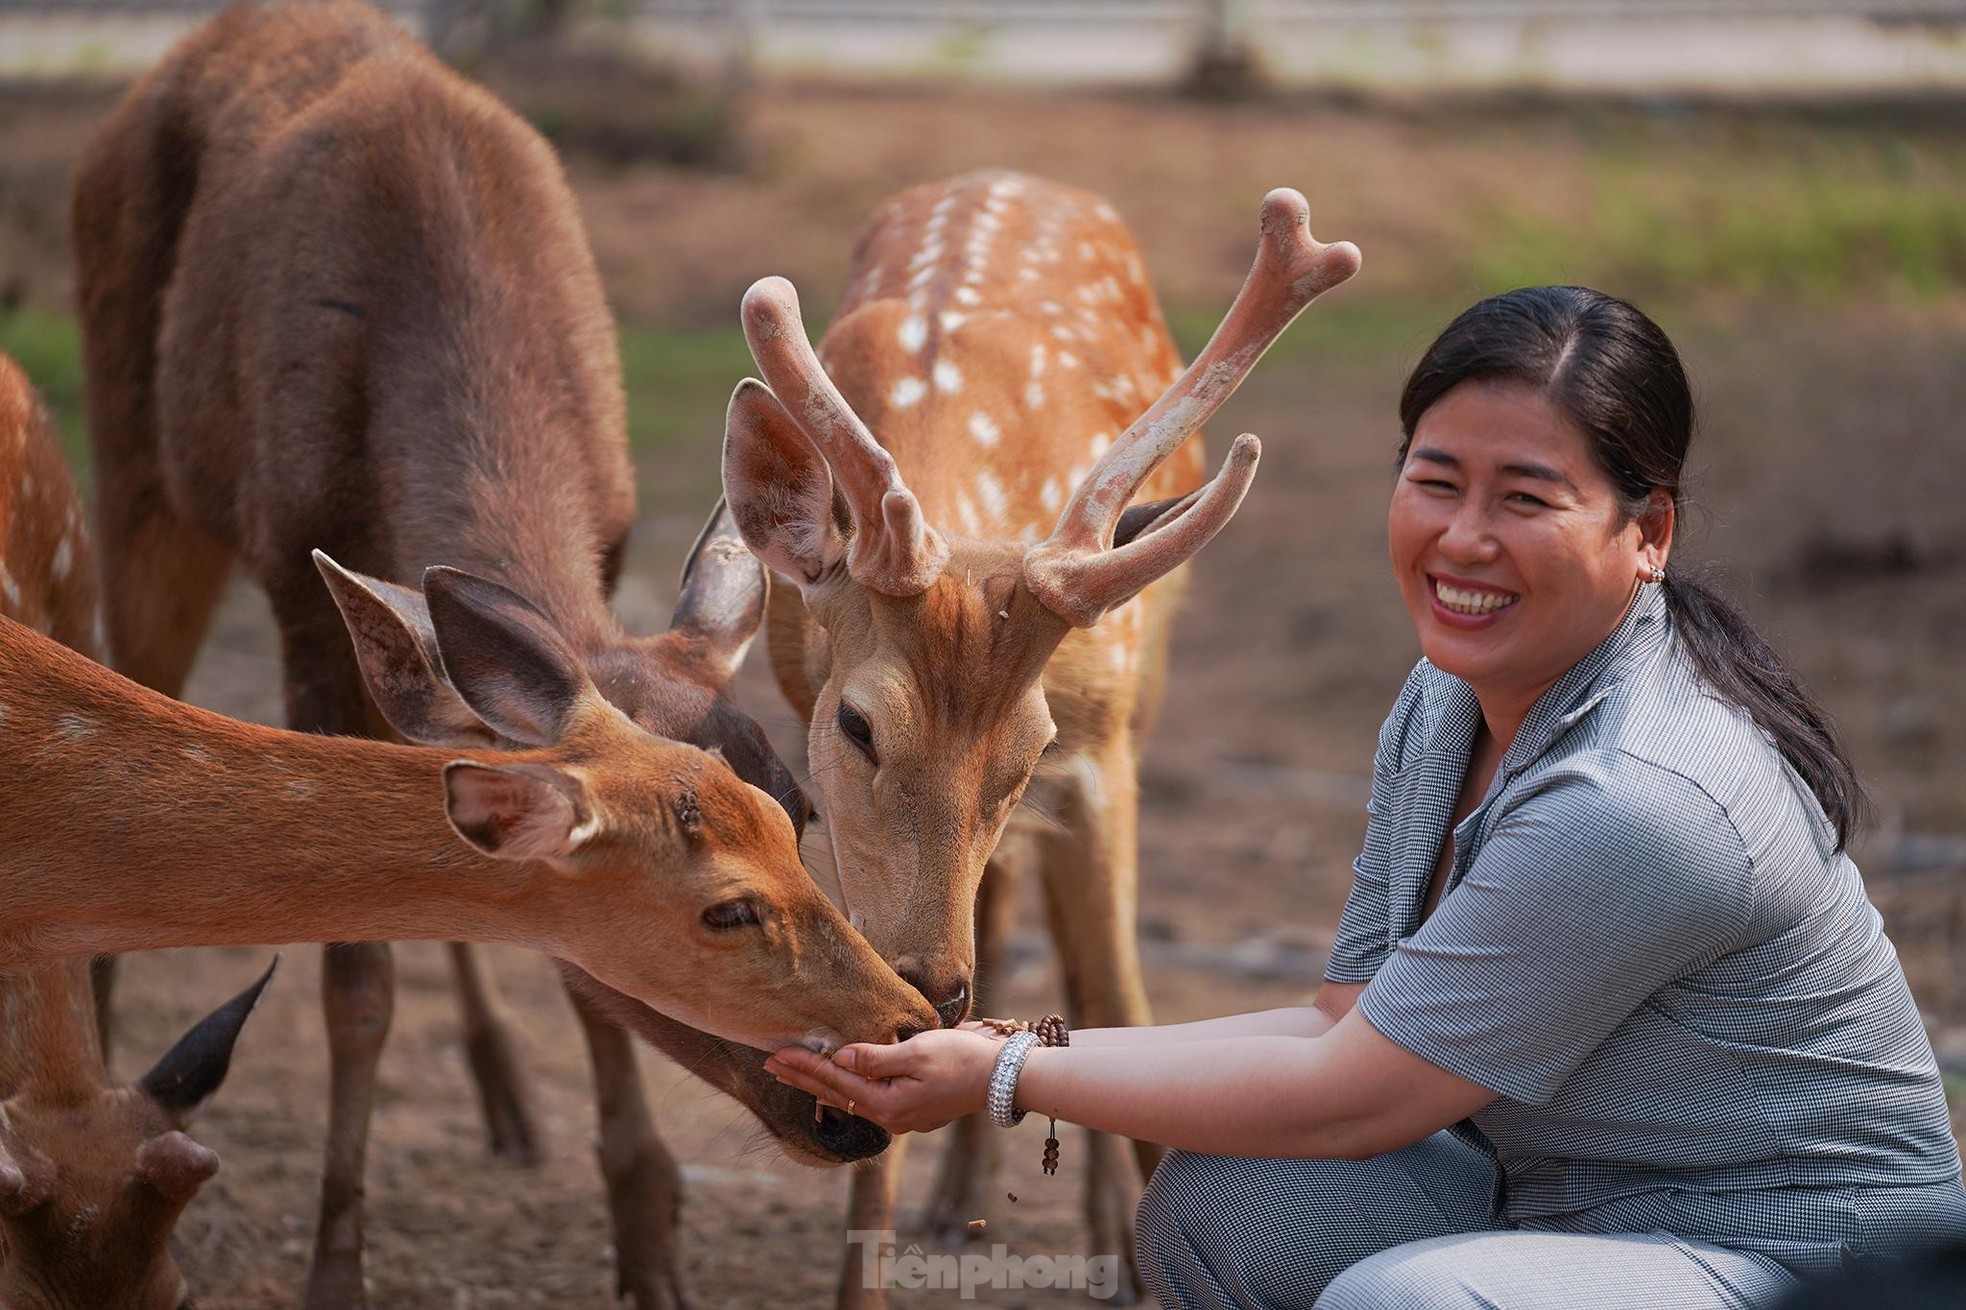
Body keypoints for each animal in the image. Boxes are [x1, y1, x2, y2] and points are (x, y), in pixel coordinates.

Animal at [67, 5, 861, 1298]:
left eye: (802, 812)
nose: (846, 1108)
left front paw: (650, 1237)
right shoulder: (297, 584)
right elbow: (355, 975)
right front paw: (335, 1268)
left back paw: (506, 1095)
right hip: (140, 457)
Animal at [731, 173, 1360, 1298]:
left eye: (1029, 746)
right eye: (854, 722)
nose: (935, 986)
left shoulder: (1098, 752)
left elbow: (1121, 991)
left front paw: (1146, 1251)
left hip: (1146, 695)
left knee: (1069, 957)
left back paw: (1109, 1233)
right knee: (1013, 905)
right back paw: (960, 1199)